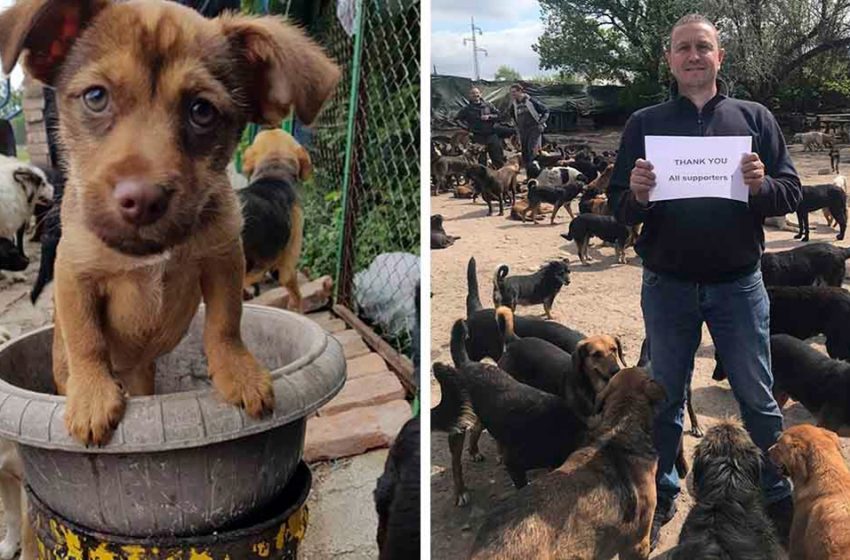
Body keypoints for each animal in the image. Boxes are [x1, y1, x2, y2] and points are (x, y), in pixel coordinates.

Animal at [0, 0, 338, 446]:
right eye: (95, 97)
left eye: (202, 111)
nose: (142, 200)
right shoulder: (74, 275)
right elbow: (87, 340)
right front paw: (91, 396)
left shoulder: (223, 261)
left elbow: (225, 323)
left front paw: (239, 374)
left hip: (145, 378)